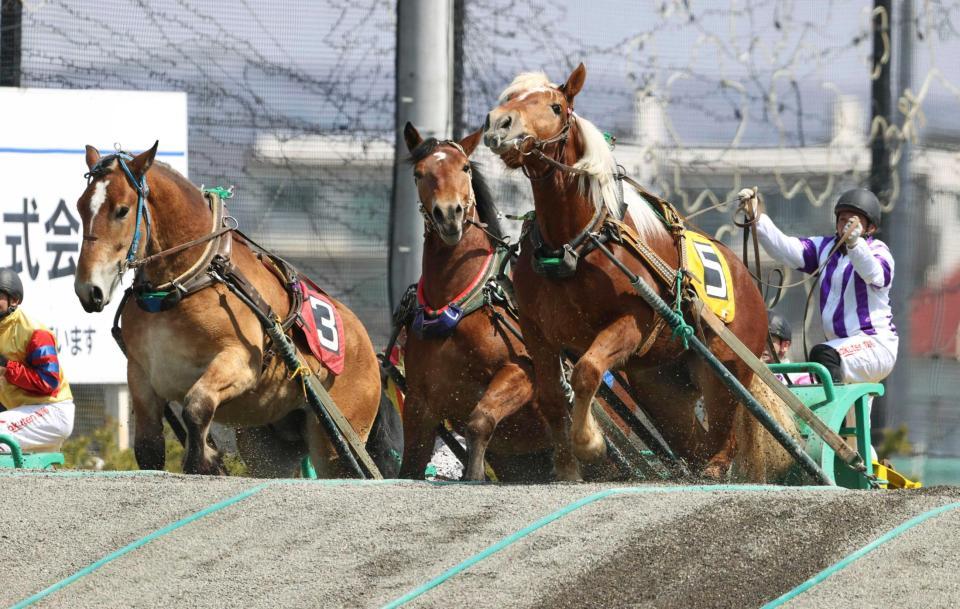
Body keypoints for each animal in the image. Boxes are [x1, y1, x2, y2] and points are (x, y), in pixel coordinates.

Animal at [72, 142, 386, 476]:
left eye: (122, 210)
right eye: (81, 207)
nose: (88, 289)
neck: (186, 281)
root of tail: (367, 346)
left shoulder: (240, 361)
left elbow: (196, 407)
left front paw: (204, 461)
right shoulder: (141, 374)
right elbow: (148, 446)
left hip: (333, 442)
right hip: (268, 443)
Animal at [396, 120, 548, 480]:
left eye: (464, 167)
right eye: (419, 173)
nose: (449, 215)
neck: (460, 302)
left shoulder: (522, 371)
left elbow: (479, 421)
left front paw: (474, 474)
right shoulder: (419, 404)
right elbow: (410, 464)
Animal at [484, 65, 800, 480]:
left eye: (555, 106)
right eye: (509, 97)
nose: (498, 124)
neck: (575, 243)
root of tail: (750, 280)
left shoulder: (632, 320)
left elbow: (587, 370)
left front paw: (589, 442)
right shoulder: (537, 329)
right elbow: (552, 396)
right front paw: (567, 467)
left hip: (724, 372)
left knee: (724, 436)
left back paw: (714, 472)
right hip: (661, 385)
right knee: (694, 442)